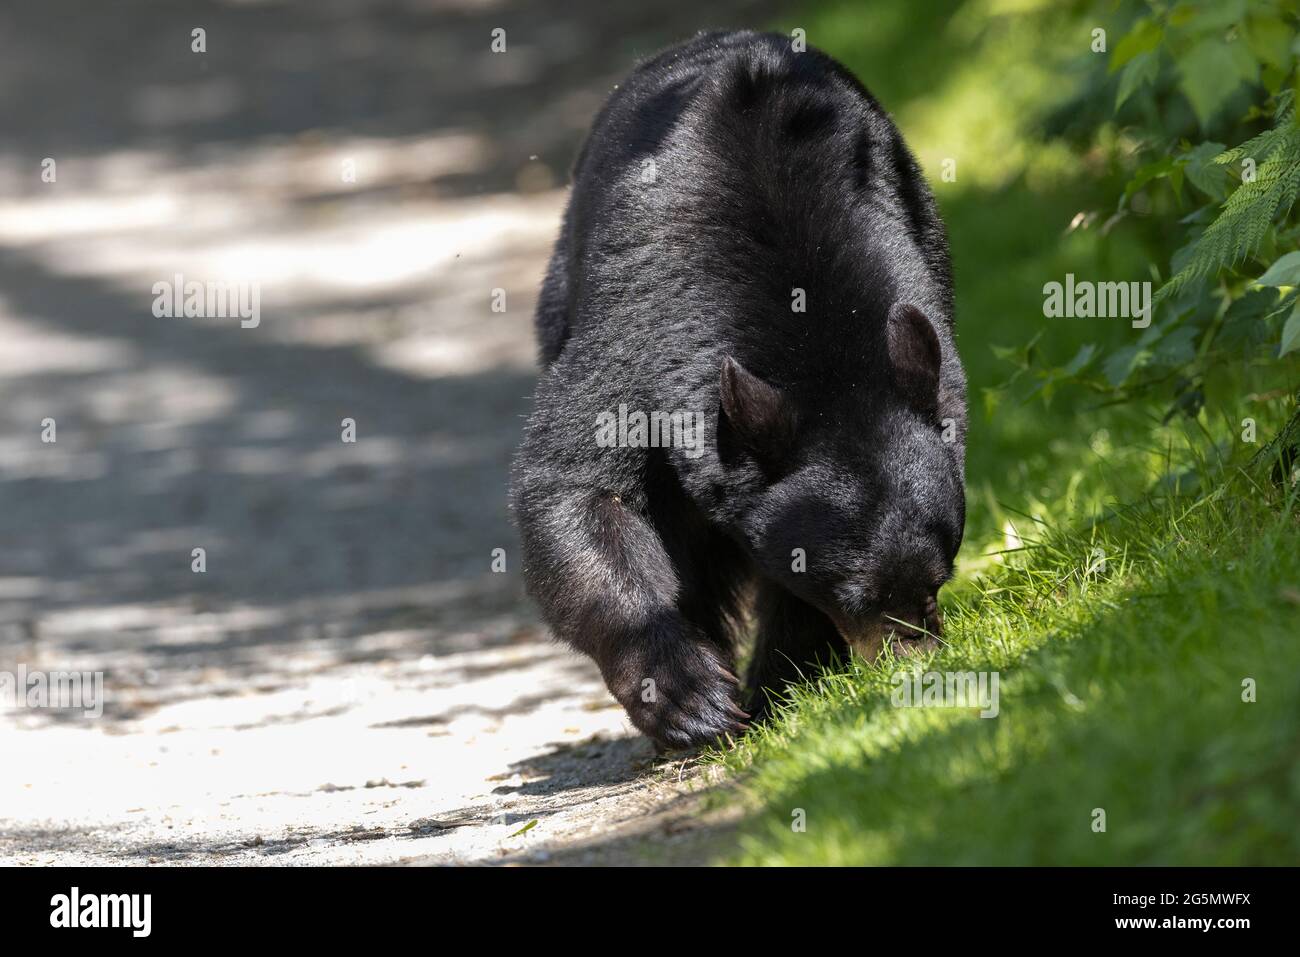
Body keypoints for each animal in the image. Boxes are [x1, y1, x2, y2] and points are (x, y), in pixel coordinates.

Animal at [506, 27, 967, 748]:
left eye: (937, 580)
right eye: (859, 593)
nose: (917, 668)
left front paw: (785, 683)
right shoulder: (638, 322)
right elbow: (579, 484)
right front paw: (692, 699)